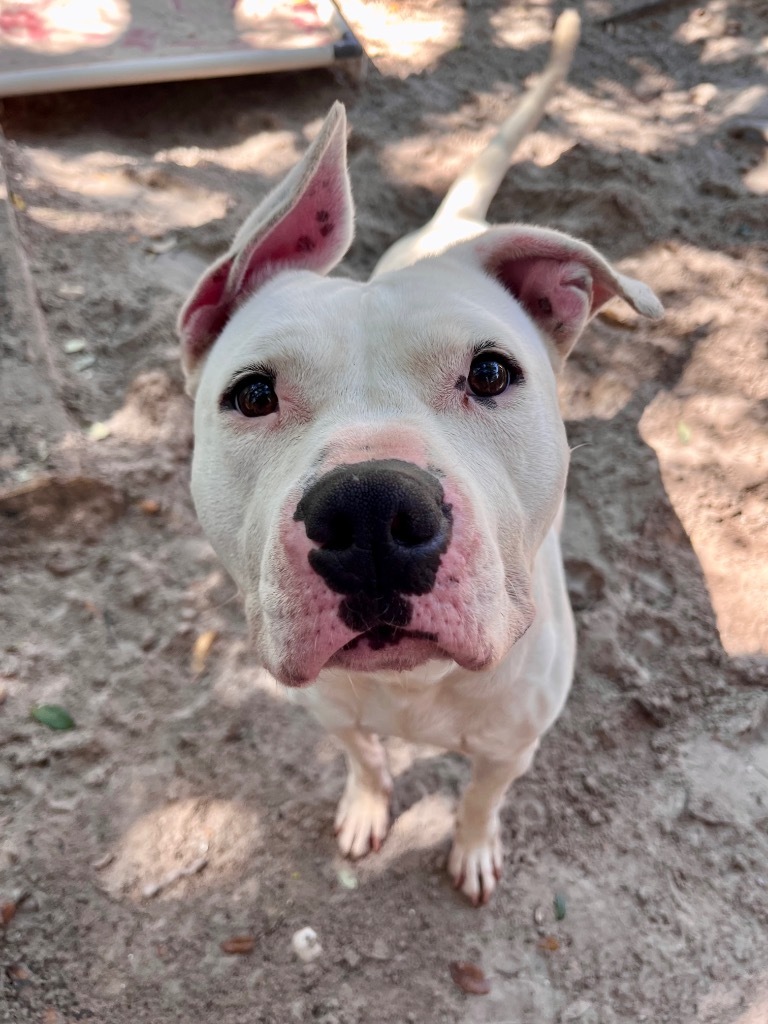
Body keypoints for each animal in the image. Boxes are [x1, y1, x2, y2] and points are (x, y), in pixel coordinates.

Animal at [176, 9, 663, 905]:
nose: (370, 510)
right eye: (253, 394)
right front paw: (367, 810)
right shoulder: (332, 714)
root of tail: (456, 227)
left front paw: (470, 848)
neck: (412, 688)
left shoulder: (511, 749)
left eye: (491, 373)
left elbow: (478, 799)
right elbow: (365, 759)